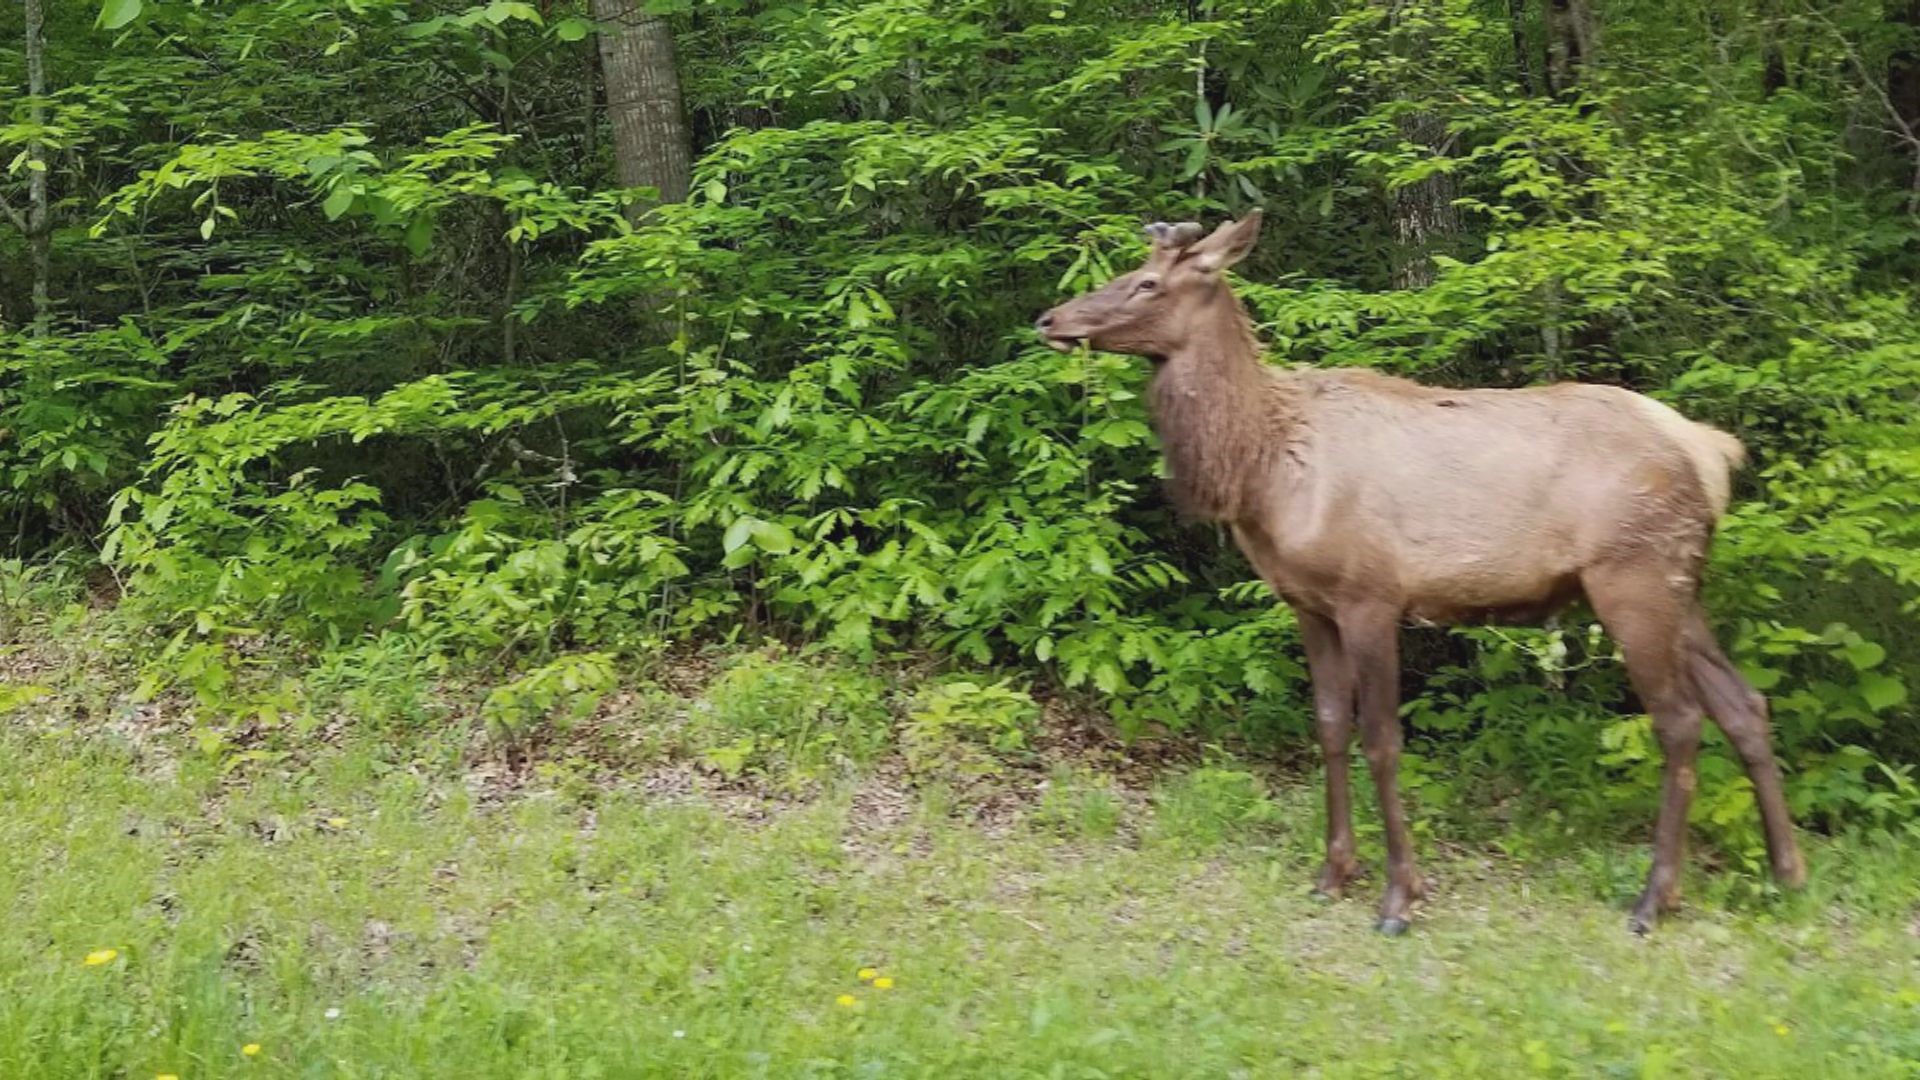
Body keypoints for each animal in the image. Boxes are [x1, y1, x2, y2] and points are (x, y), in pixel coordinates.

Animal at [1035, 212, 1806, 935]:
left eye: (1147, 282)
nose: (1051, 318)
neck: (1262, 468)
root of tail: (1712, 454)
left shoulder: (1371, 596)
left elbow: (1382, 740)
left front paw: (1400, 896)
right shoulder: (1308, 604)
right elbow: (1329, 728)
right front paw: (1332, 874)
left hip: (1633, 577)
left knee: (1679, 720)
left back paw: (1654, 899)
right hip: (1682, 587)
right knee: (1745, 703)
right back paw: (1786, 874)